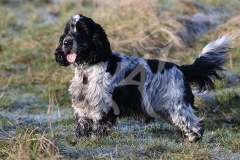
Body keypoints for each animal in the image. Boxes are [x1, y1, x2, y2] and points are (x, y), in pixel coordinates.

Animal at [54, 14, 236, 145]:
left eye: (82, 30)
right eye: (67, 31)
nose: (66, 42)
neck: (87, 70)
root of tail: (181, 68)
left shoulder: (102, 106)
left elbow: (98, 128)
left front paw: (93, 142)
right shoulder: (82, 106)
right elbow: (81, 127)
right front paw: (77, 142)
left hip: (177, 106)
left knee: (196, 125)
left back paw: (191, 142)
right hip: (168, 109)